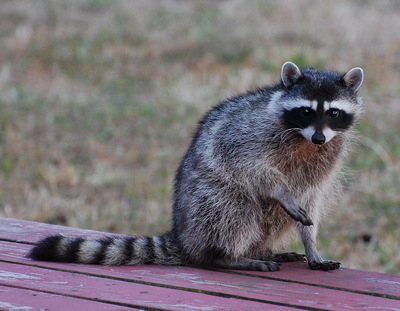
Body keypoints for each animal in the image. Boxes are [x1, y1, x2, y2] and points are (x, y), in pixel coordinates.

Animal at [29, 62, 364, 272]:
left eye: (333, 112)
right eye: (306, 111)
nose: (319, 137)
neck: (304, 139)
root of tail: (184, 235)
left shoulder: (326, 157)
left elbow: (310, 197)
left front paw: (312, 245)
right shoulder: (248, 134)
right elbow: (252, 169)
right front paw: (280, 190)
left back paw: (257, 250)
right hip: (205, 201)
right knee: (235, 209)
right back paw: (225, 256)